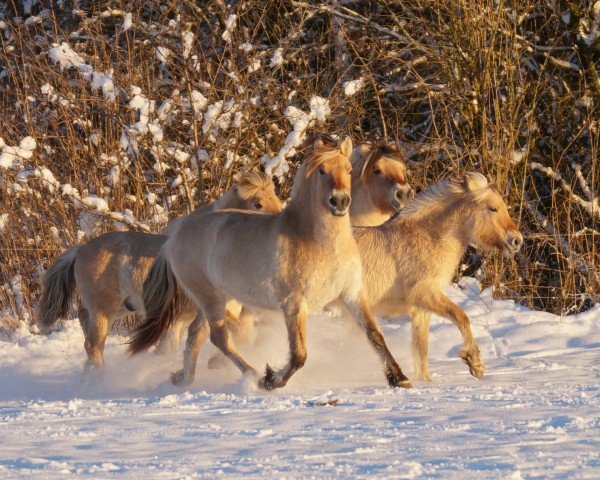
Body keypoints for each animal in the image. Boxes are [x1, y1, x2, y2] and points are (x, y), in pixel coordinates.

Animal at [37, 170, 282, 376]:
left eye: (278, 200)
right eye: (258, 203)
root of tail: (80, 250)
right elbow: (234, 334)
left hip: (120, 308)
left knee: (84, 322)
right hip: (104, 309)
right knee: (93, 344)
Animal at [129, 137, 412, 392]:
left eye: (350, 171)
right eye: (322, 171)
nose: (340, 201)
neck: (319, 243)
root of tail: (175, 235)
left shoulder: (352, 294)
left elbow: (374, 335)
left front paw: (399, 378)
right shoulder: (294, 304)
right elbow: (299, 354)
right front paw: (272, 379)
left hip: (220, 300)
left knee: (196, 335)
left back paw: (183, 379)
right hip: (211, 300)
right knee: (219, 339)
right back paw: (253, 376)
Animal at [354, 171, 524, 380]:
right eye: (493, 208)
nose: (517, 241)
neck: (425, 239)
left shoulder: (421, 310)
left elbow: (421, 351)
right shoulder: (425, 295)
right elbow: (461, 316)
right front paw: (475, 364)